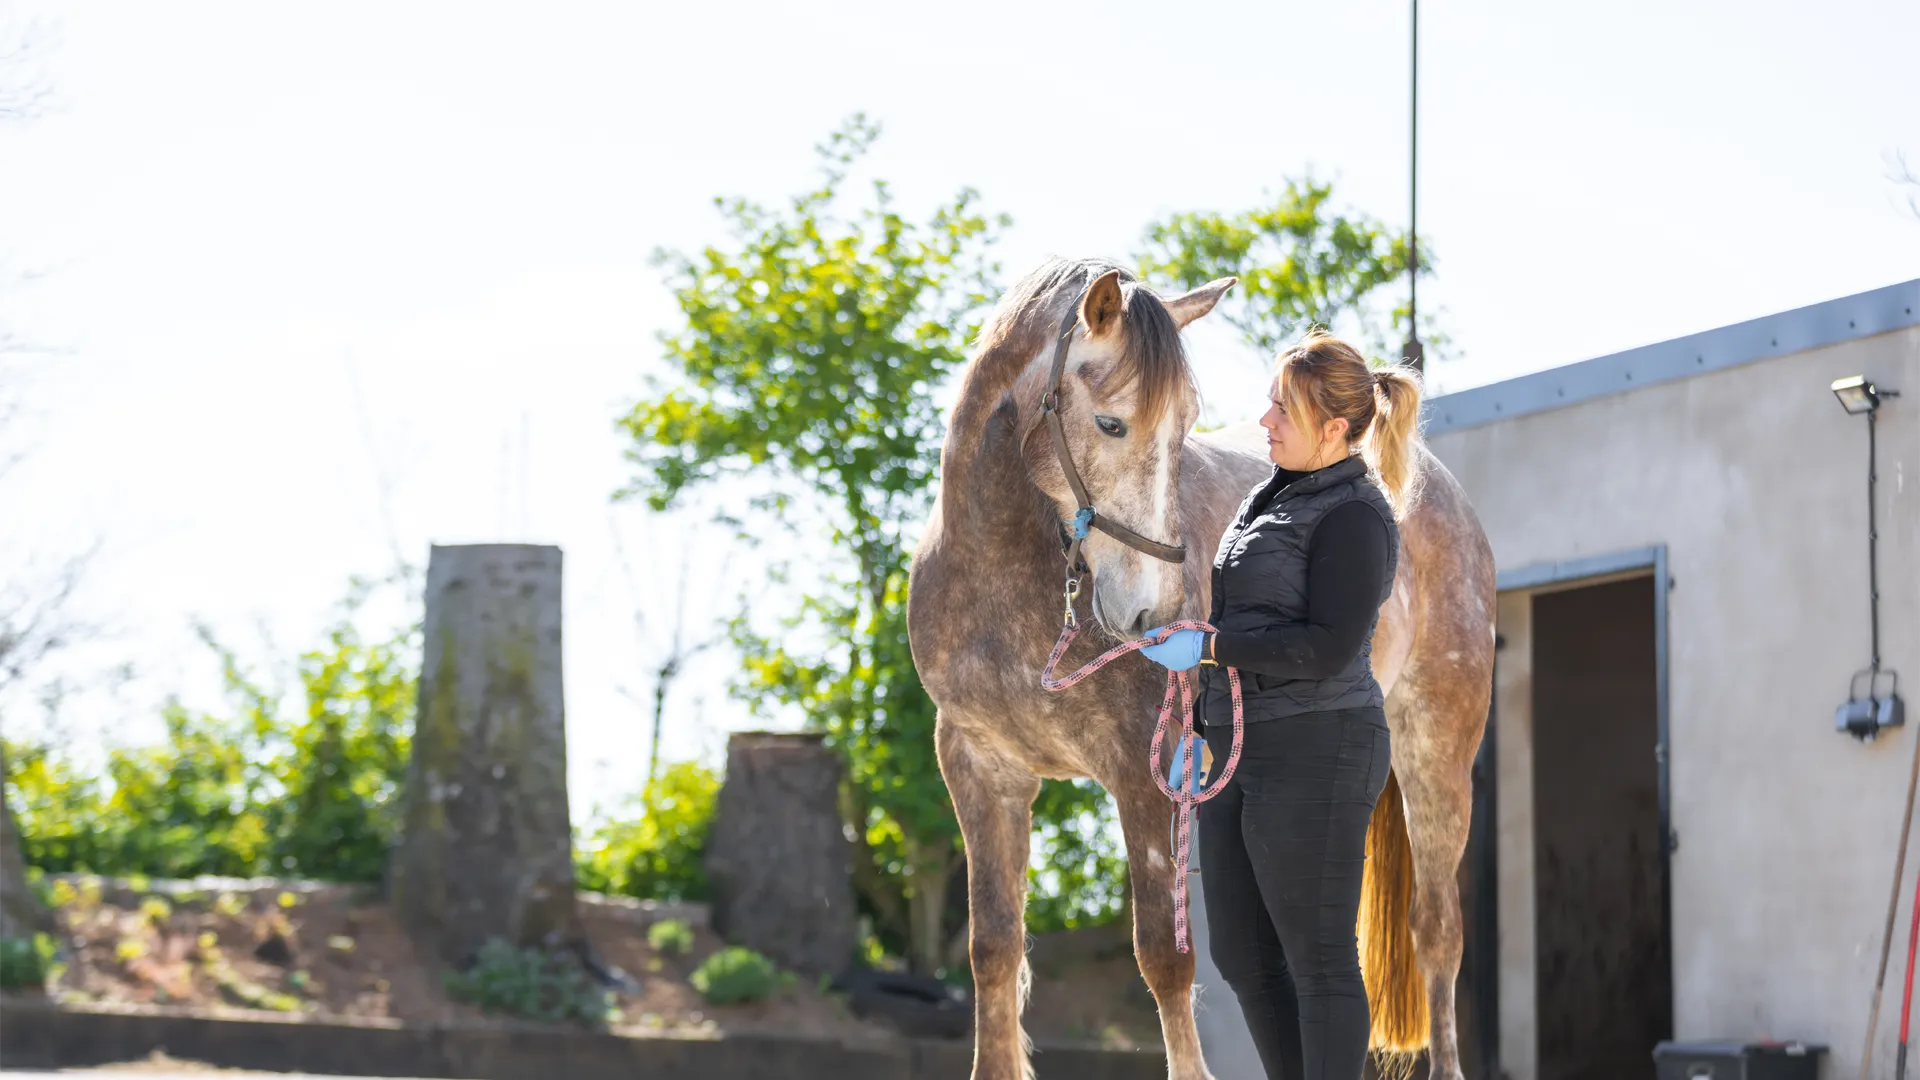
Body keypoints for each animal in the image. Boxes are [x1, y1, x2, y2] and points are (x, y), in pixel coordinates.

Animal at [910, 253, 1497, 1076]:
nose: (1152, 615)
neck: (1001, 575)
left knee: (1436, 933)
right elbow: (994, 949)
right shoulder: (979, 767)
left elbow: (1164, 957)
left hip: (1436, 750)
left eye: (1186, 427)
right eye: (1111, 423)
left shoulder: (1143, 771)